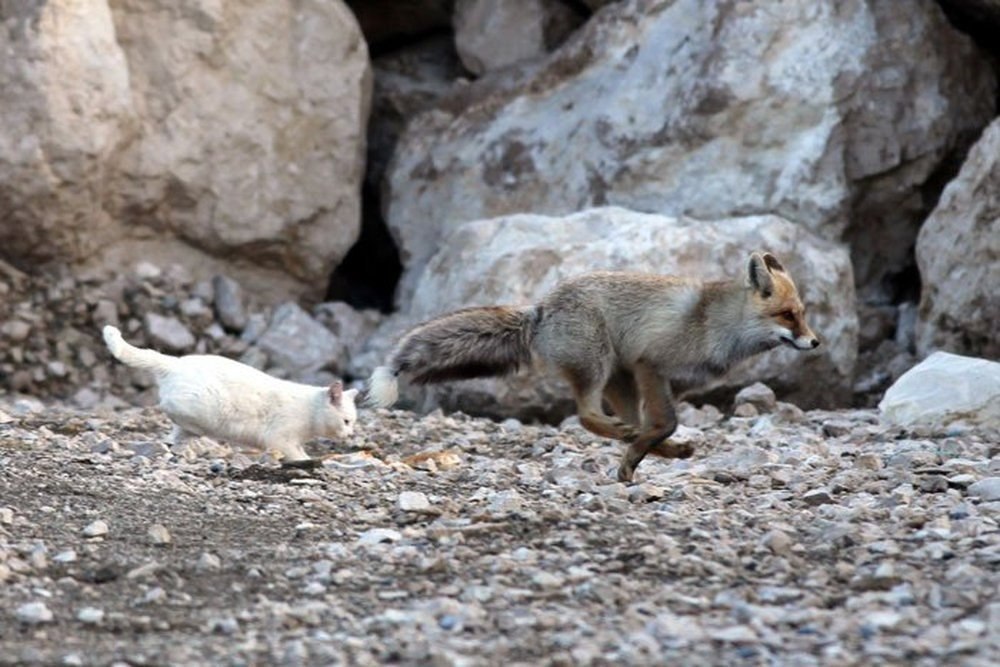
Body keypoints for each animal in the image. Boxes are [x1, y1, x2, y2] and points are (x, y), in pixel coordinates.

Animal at [102, 325, 358, 465]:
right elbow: (300, 456)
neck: (311, 413)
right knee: (168, 407)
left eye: (353, 423)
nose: (350, 434)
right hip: (203, 406)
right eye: (346, 421)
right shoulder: (281, 439)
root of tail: (176, 362)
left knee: (174, 435)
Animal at [366, 252, 819, 482]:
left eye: (803, 314)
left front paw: (641, 455)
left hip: (618, 377)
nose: (815, 342)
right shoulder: (651, 363)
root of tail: (541, 308)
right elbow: (664, 423)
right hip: (598, 367)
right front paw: (636, 456)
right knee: (586, 415)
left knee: (626, 424)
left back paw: (652, 449)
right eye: (787, 316)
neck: (713, 324)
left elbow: (658, 428)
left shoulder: (665, 381)